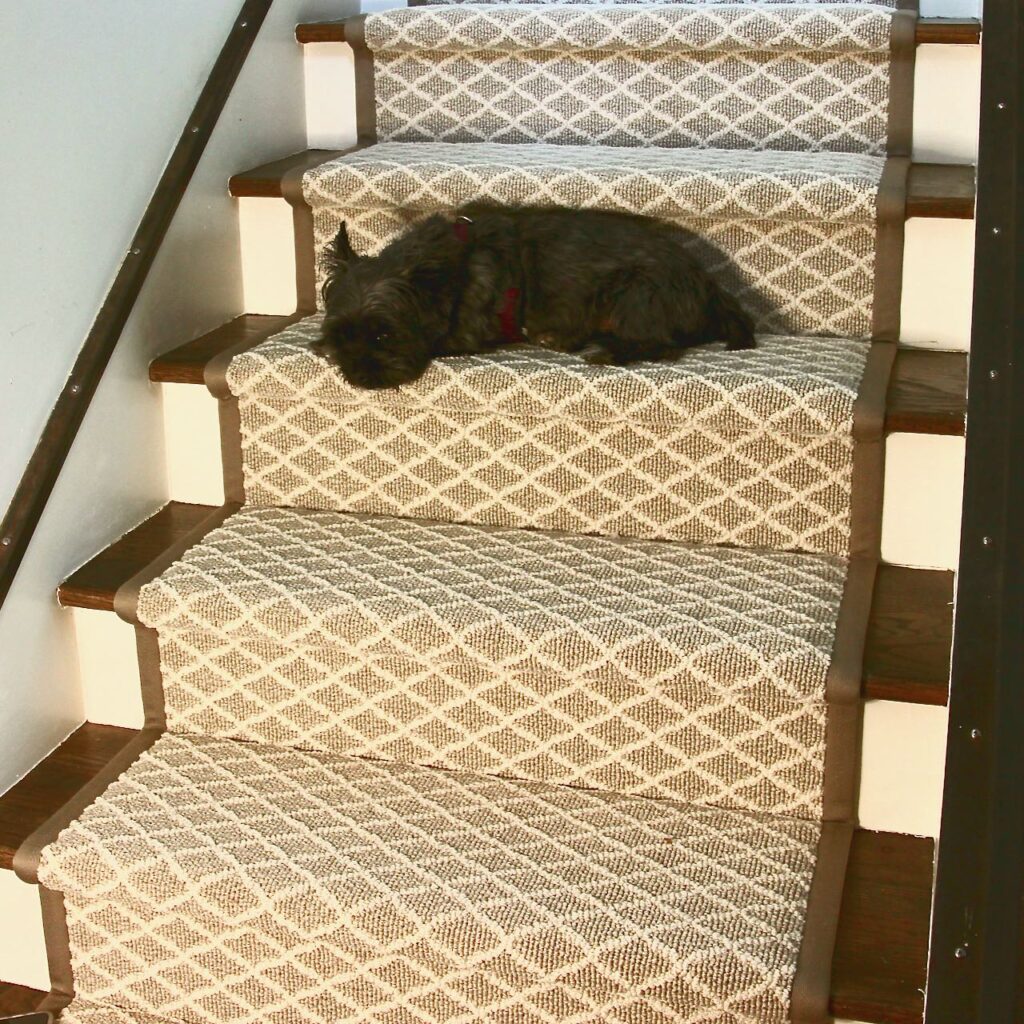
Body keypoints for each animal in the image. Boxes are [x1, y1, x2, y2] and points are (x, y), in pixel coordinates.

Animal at [315, 205, 757, 389]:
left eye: (383, 335)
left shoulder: (463, 335)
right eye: (342, 336)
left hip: (634, 291)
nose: (359, 376)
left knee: (661, 344)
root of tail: (708, 284)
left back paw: (606, 351)